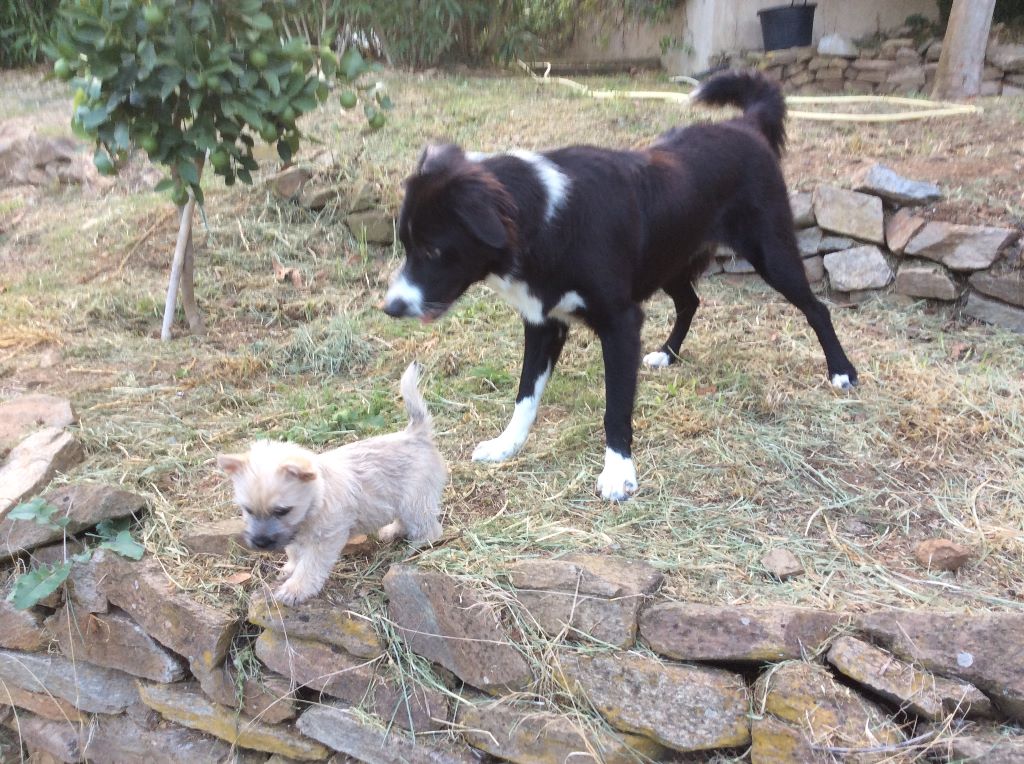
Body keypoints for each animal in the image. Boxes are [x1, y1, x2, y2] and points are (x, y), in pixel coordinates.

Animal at [218, 362, 446, 602]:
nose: (260, 543)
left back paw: (416, 547)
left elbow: (309, 567)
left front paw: (295, 588)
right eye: (247, 510)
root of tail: (415, 434)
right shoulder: (295, 537)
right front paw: (290, 568)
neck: (316, 499)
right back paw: (392, 531)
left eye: (282, 511)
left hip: (415, 502)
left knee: (430, 529)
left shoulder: (323, 542)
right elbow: (294, 552)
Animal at [380, 71, 851, 499]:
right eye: (406, 245)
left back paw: (842, 371)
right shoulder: (544, 324)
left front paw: (619, 472)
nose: (391, 308)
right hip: (669, 261)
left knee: (816, 308)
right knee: (690, 302)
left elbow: (616, 407)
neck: (546, 220)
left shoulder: (620, 322)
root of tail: (745, 124)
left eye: (433, 250)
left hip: (771, 255)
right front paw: (506, 446)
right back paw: (667, 353)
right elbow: (525, 395)